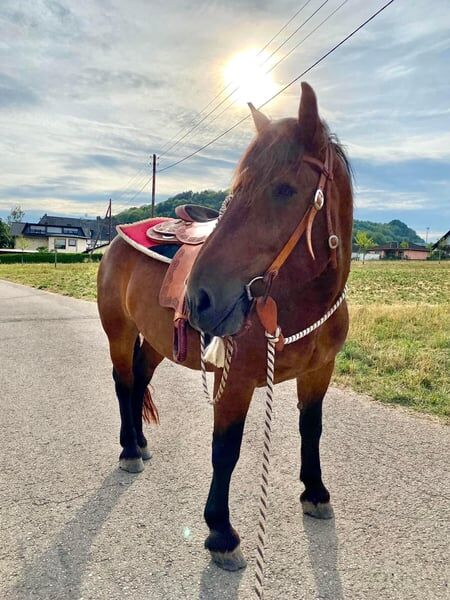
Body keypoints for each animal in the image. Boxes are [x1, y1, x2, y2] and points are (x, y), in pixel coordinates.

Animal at [97, 82, 352, 568]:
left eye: (285, 188)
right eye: (235, 191)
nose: (200, 298)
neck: (295, 302)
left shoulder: (319, 372)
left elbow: (312, 428)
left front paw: (315, 492)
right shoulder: (233, 382)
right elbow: (226, 449)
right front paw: (220, 532)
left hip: (155, 340)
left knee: (139, 381)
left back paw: (140, 442)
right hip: (118, 332)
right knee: (122, 383)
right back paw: (128, 449)